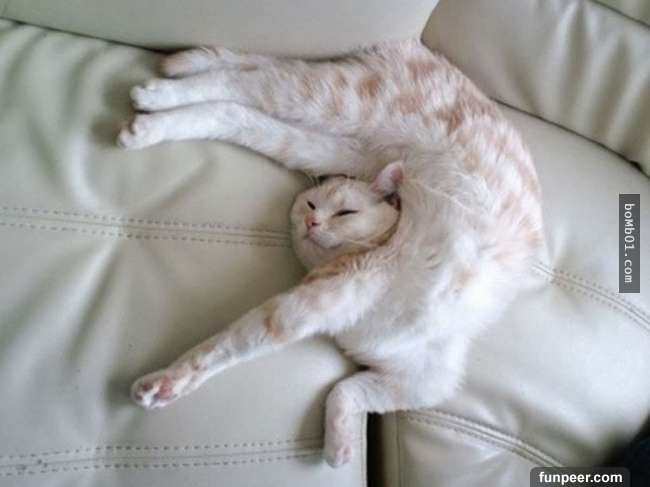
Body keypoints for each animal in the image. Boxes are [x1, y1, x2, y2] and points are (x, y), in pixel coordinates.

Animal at [119, 39, 544, 468]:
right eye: (310, 205)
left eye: (345, 212)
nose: (312, 222)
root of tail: (417, 49)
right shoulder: (296, 310)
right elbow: (221, 347)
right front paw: (166, 382)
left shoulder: (422, 382)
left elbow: (347, 390)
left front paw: (340, 447)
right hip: (333, 100)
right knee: (243, 82)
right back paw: (154, 100)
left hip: (329, 142)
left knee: (238, 108)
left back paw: (154, 116)